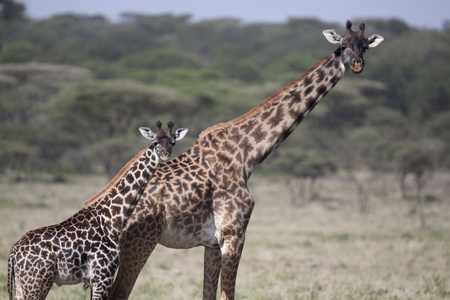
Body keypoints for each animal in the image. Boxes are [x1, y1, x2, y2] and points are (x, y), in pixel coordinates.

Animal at [7, 121, 186, 300]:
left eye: (173, 143)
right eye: (155, 142)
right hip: (36, 284)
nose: (165, 156)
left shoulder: (97, 280)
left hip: (23, 286)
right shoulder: (102, 277)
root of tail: (14, 252)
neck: (112, 218)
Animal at [108, 19, 384, 298]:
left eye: (364, 46)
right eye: (342, 45)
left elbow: (208, 293)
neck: (245, 155)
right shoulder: (234, 233)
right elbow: (228, 294)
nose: (357, 64)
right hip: (139, 243)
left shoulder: (212, 243)